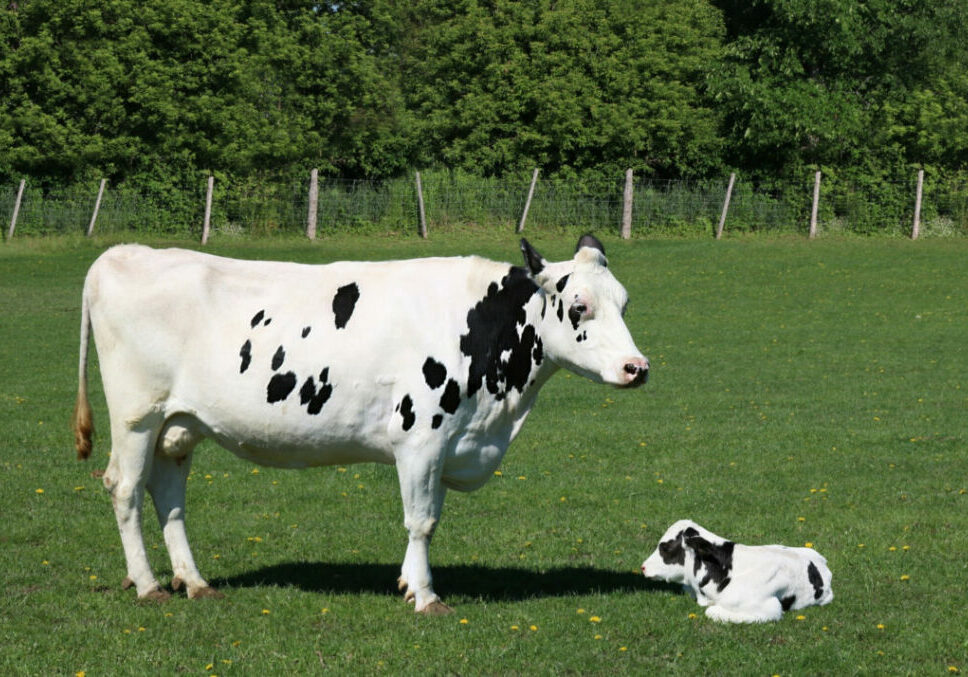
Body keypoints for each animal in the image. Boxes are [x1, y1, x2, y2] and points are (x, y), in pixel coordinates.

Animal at [72, 234, 648, 614]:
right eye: (580, 306)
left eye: (624, 302)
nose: (637, 368)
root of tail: (122, 253)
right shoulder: (420, 436)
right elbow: (422, 521)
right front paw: (425, 595)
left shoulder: (448, 442)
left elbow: (430, 516)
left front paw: (409, 582)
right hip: (137, 415)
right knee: (124, 487)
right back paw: (147, 584)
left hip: (178, 425)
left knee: (168, 495)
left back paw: (192, 581)